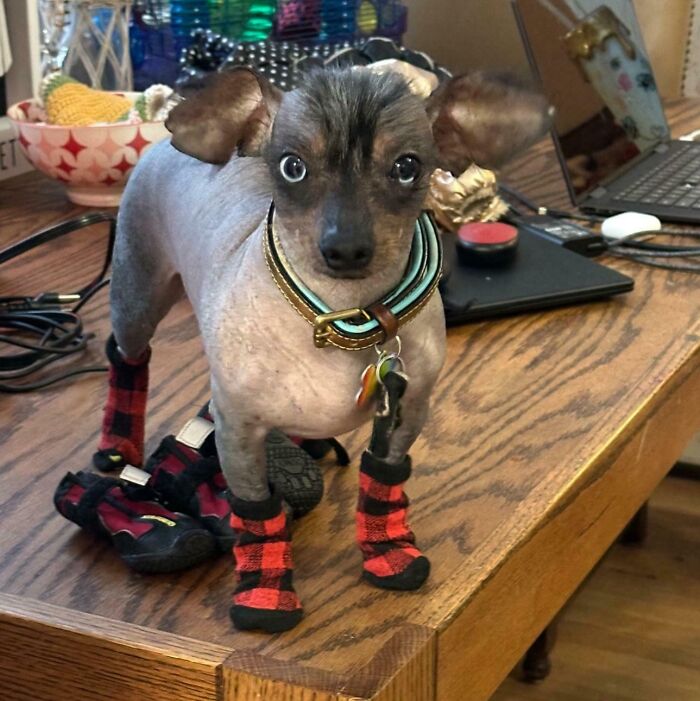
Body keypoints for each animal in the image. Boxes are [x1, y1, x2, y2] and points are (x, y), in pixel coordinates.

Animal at [97, 65, 548, 632]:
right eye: (292, 167)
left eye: (406, 168)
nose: (346, 248)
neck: (341, 316)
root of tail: (163, 140)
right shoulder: (239, 432)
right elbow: (258, 515)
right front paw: (264, 593)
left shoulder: (404, 415)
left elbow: (383, 485)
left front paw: (388, 552)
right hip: (137, 298)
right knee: (126, 356)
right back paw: (118, 444)